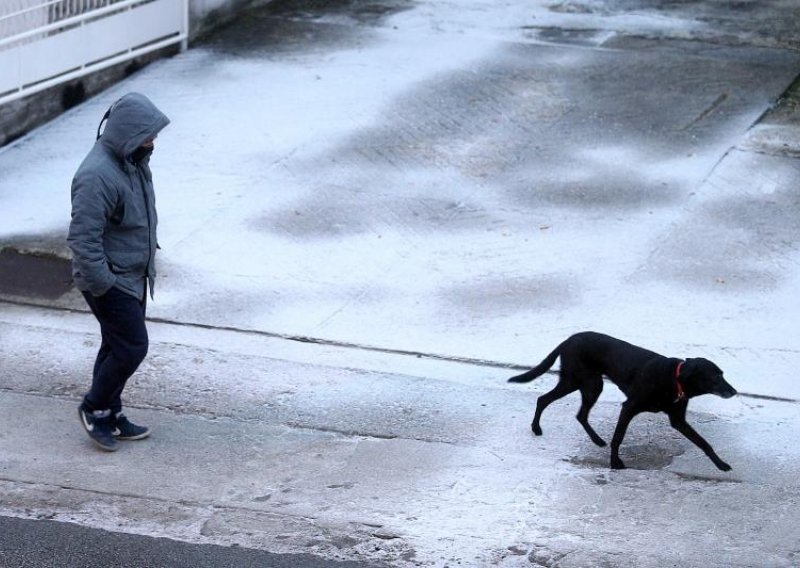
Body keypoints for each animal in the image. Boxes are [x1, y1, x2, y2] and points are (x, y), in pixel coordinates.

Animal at [510, 332, 740, 470]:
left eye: (722, 374)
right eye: (715, 377)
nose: (735, 391)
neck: (674, 379)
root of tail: (568, 339)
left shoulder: (678, 420)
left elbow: (704, 443)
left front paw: (721, 464)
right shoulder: (628, 407)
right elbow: (618, 437)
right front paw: (615, 462)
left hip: (590, 384)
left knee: (579, 414)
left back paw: (596, 440)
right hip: (580, 381)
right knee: (544, 399)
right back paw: (536, 428)